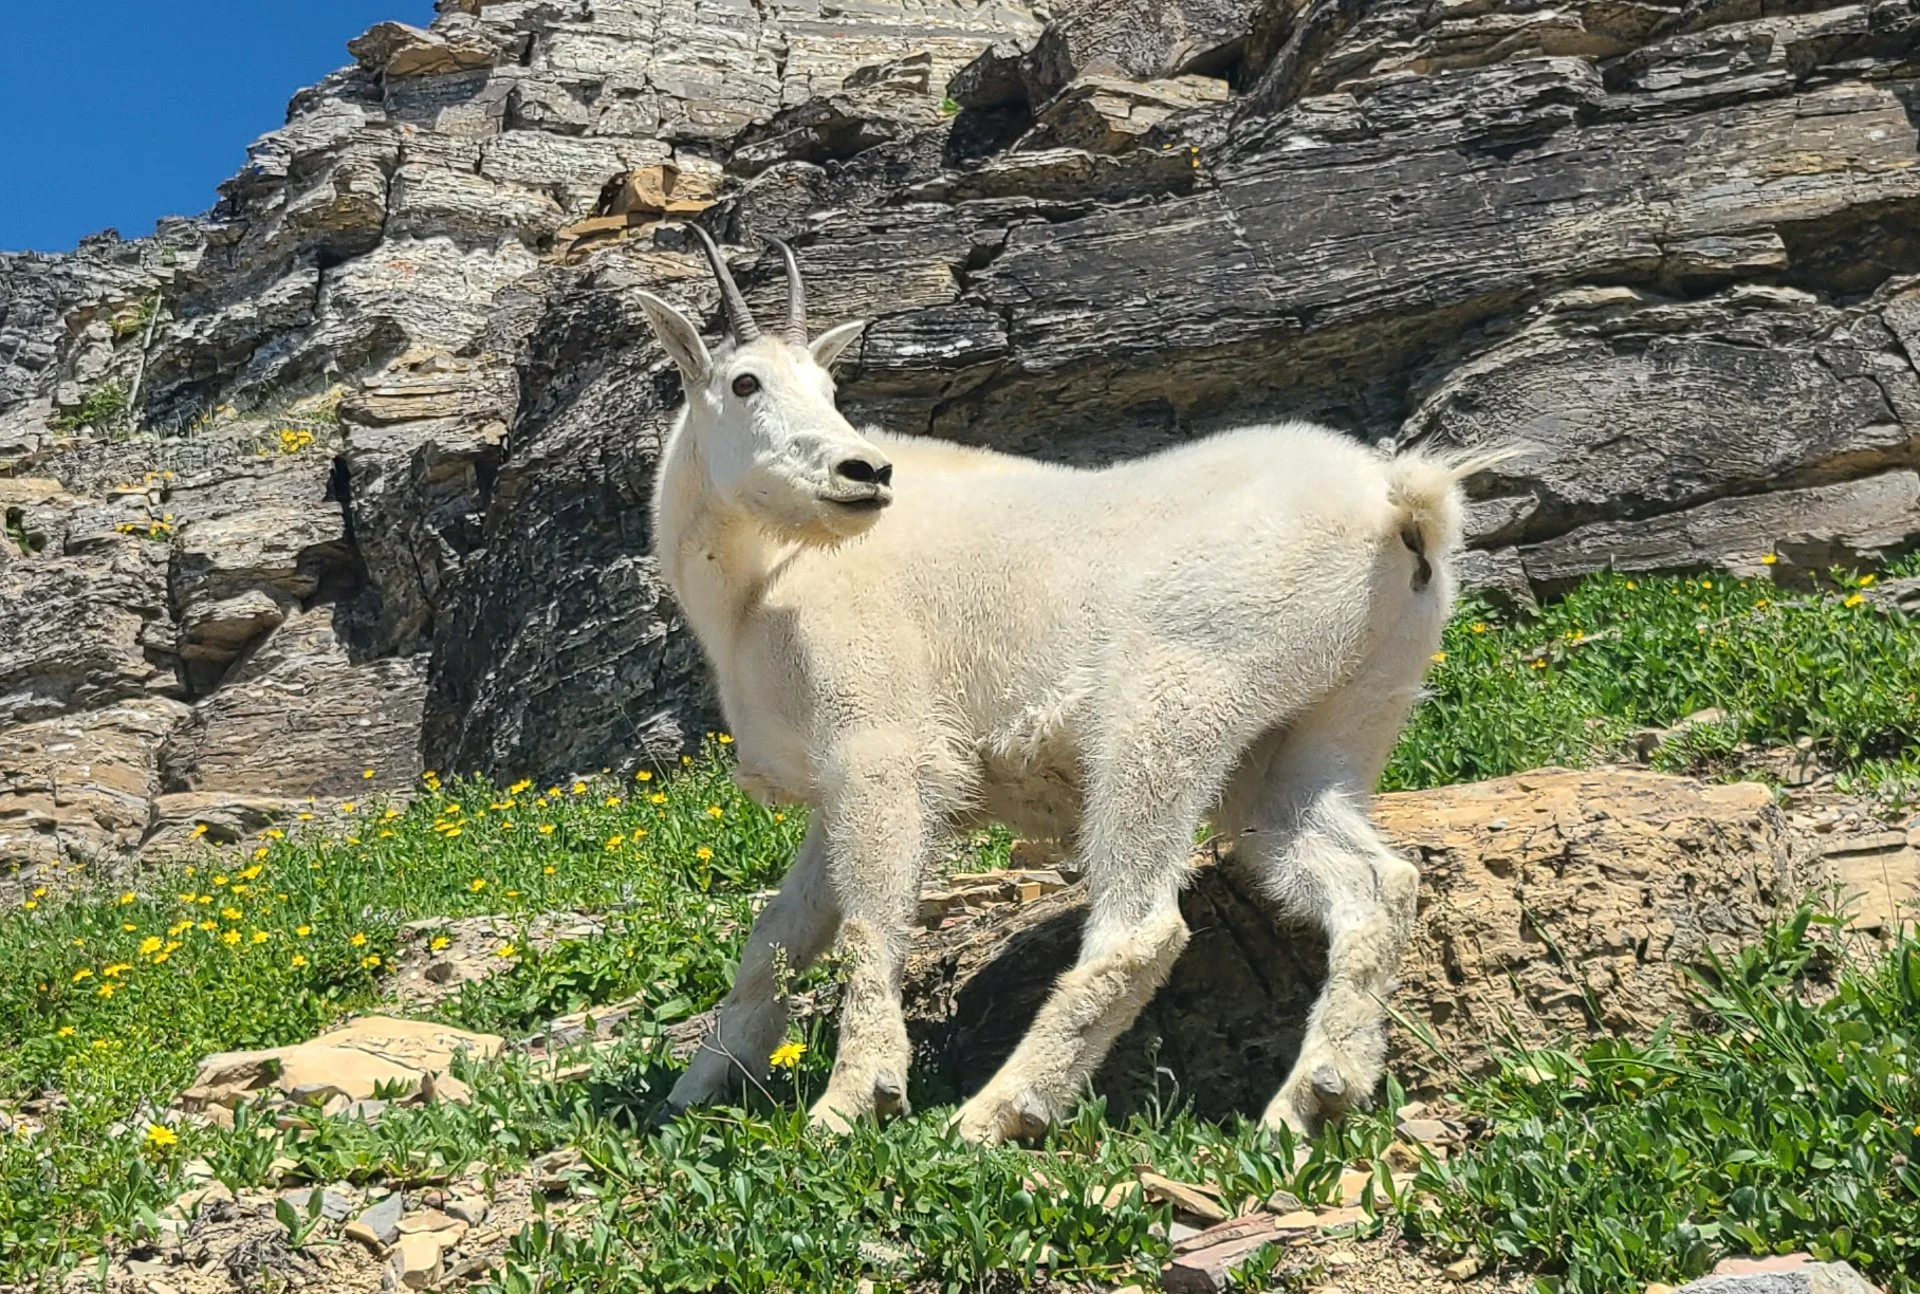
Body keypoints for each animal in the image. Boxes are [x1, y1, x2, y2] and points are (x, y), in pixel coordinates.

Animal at [636, 228, 1480, 1144]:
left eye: (830, 388)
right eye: (745, 382)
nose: (865, 473)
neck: (761, 581)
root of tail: (1399, 504)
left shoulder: (880, 752)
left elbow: (868, 929)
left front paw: (854, 1102)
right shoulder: (836, 786)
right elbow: (774, 939)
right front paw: (696, 1087)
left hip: (1172, 699)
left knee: (1143, 924)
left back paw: (998, 1111)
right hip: (1327, 725)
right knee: (1372, 882)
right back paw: (1316, 1095)